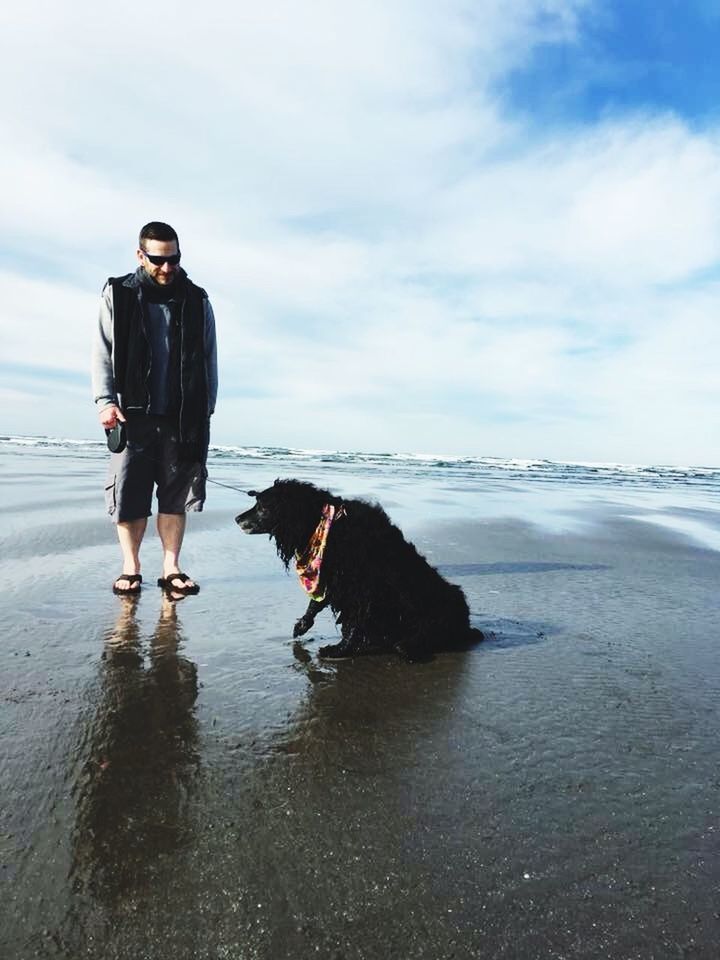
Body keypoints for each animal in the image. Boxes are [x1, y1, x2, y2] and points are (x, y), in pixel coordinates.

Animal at [236, 480, 484, 660]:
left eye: (262, 507)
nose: (237, 518)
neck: (326, 526)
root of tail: (465, 623)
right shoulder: (334, 577)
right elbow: (317, 604)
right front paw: (302, 625)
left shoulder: (362, 587)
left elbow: (354, 620)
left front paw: (339, 650)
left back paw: (408, 646)